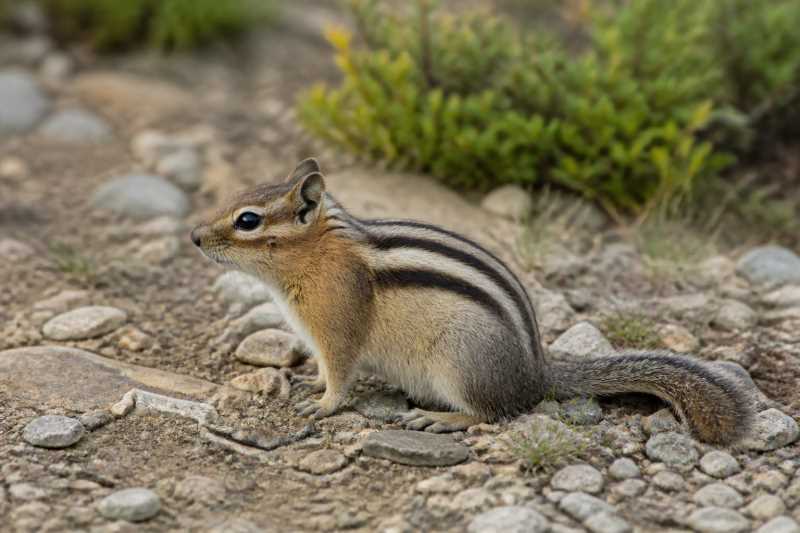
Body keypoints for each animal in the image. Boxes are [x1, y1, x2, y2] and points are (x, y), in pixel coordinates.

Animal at [191, 158, 753, 444]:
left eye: (247, 220)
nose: (194, 237)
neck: (317, 253)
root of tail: (537, 373)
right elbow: (323, 370)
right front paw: (307, 381)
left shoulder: (337, 328)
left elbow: (341, 374)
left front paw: (323, 403)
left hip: (459, 363)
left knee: (492, 413)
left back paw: (440, 419)